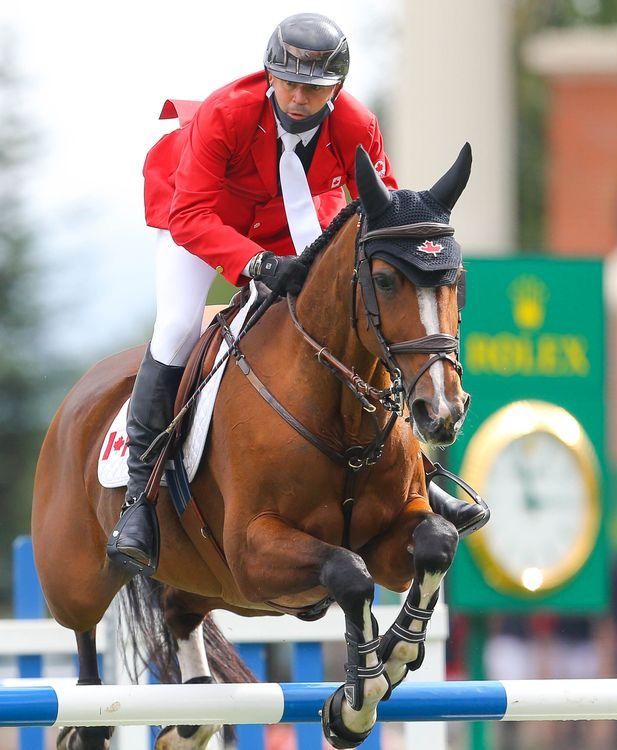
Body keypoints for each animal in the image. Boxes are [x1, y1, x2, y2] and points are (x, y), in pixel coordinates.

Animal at [31, 144, 474, 748]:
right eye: (384, 281)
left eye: (458, 279)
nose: (442, 412)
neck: (342, 417)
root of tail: (75, 399)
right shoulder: (252, 550)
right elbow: (348, 573)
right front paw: (356, 702)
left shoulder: (391, 538)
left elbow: (435, 541)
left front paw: (393, 659)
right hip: (74, 575)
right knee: (83, 643)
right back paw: (91, 721)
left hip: (204, 580)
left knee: (179, 616)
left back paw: (190, 721)